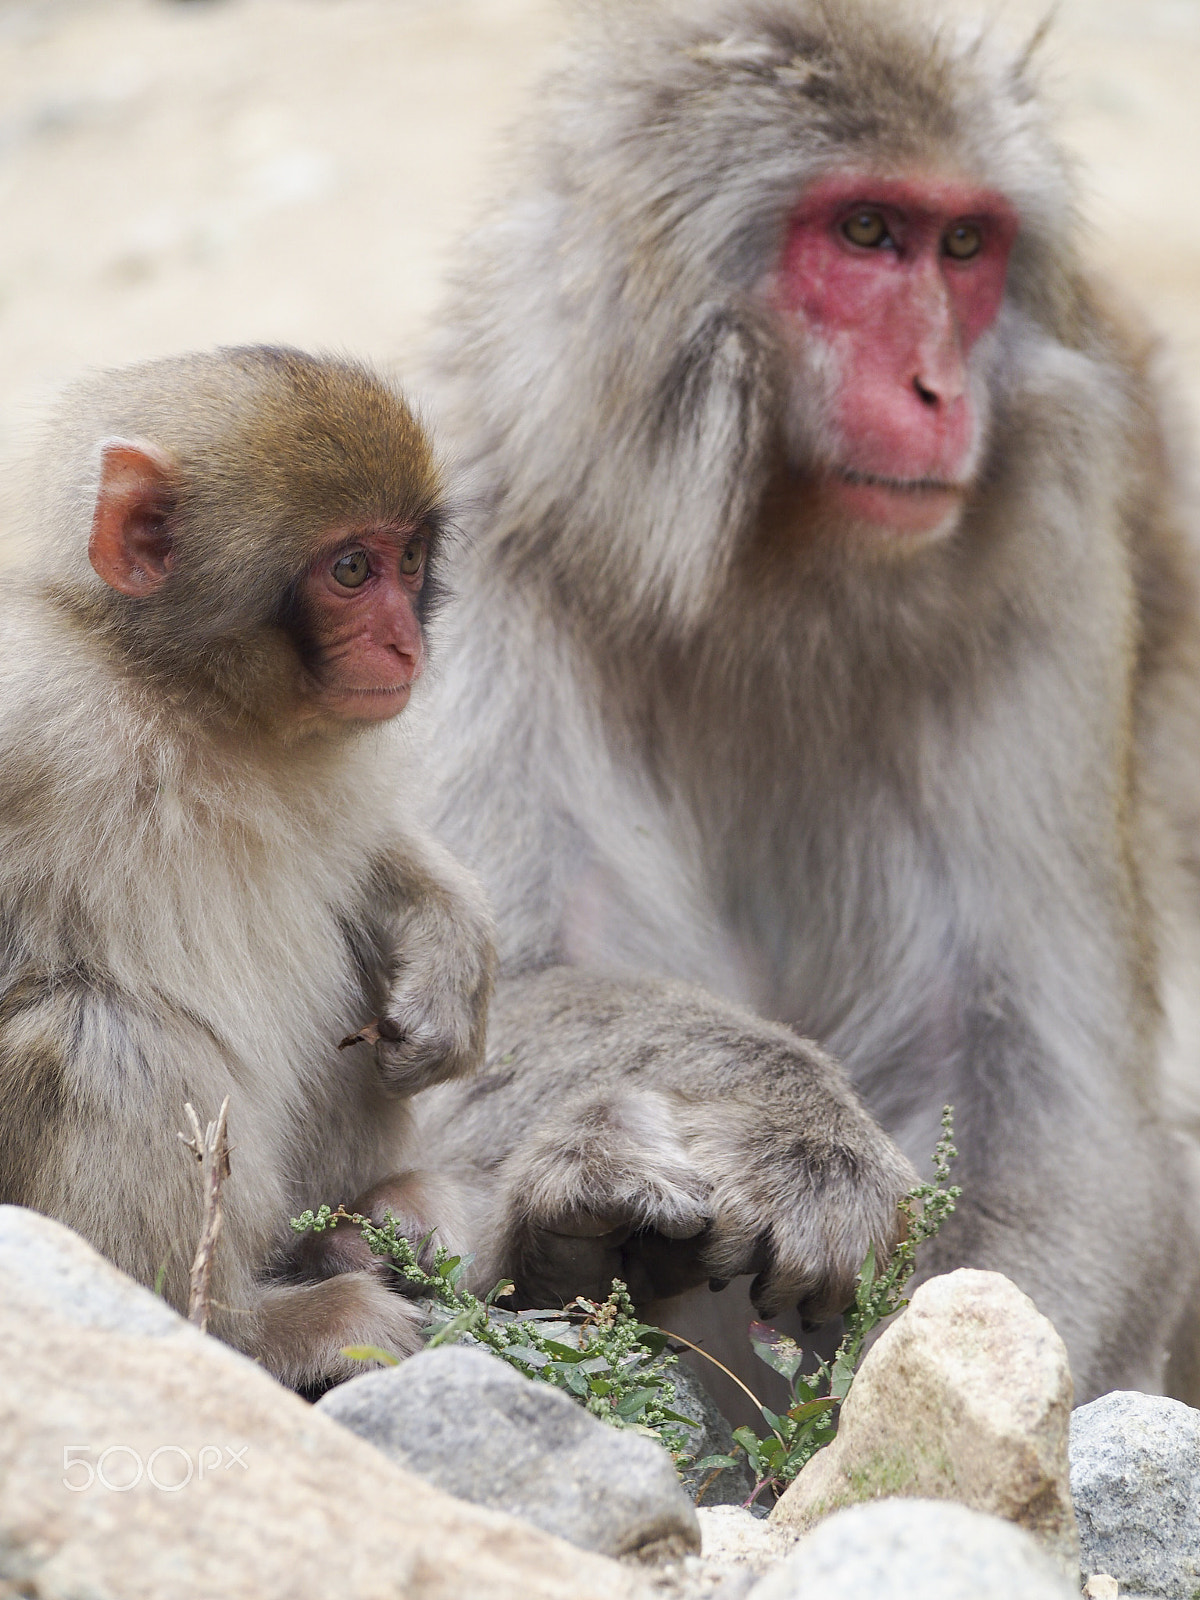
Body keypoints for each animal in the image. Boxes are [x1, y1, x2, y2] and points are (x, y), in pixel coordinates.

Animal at [0, 345, 495, 1389]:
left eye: (409, 562)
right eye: (350, 570)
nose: (408, 643)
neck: (190, 698)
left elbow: (360, 859)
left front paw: (455, 949)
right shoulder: (30, 711)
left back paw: (367, 1218)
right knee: (107, 1032)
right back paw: (255, 1329)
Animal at [405, 0, 1200, 1409]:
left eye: (965, 245)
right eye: (866, 233)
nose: (944, 392)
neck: (774, 563)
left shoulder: (1051, 562)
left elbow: (1058, 1098)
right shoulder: (468, 537)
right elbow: (474, 998)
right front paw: (783, 1119)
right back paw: (583, 1238)